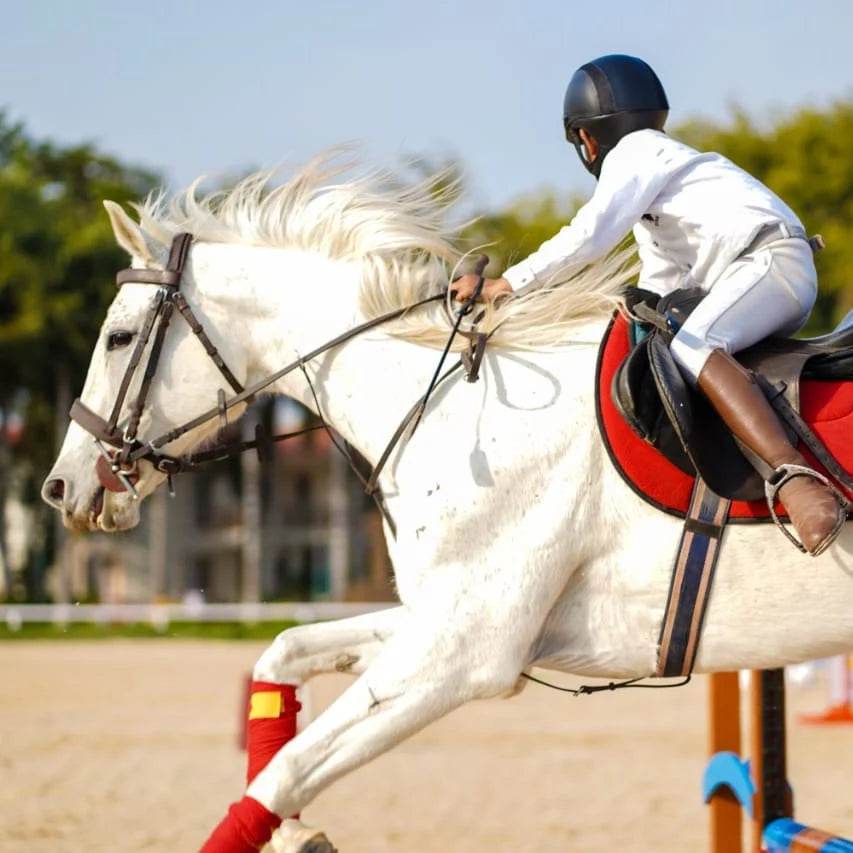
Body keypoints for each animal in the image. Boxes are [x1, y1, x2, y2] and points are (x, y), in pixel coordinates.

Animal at [41, 155, 853, 851]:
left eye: (118, 338)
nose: (62, 488)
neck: (450, 405)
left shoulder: (460, 655)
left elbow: (285, 771)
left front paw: (291, 827)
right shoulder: (441, 621)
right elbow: (284, 656)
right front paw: (298, 833)